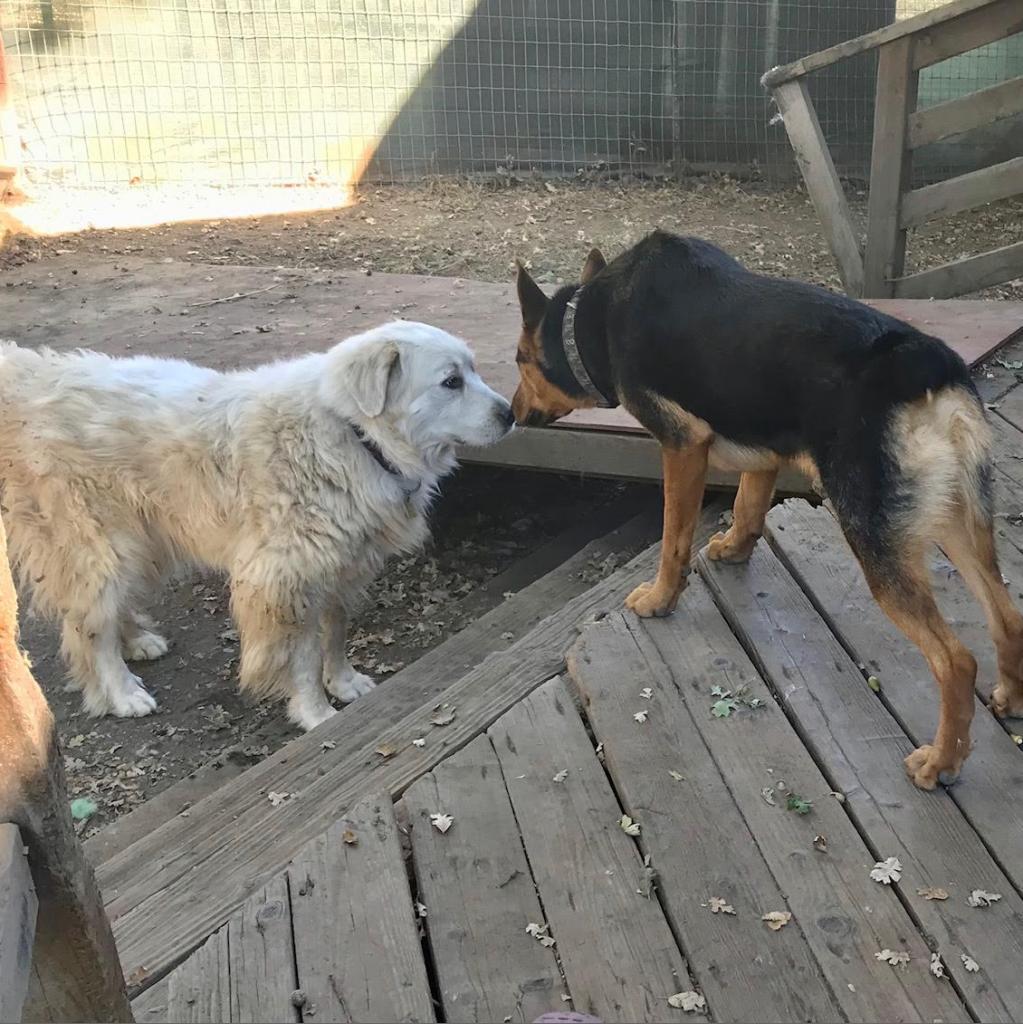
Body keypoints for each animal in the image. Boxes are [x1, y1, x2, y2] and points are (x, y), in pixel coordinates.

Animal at [0, 319, 512, 729]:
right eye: (451, 381)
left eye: (475, 371)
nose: (510, 414)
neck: (355, 435)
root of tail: (36, 372)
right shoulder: (286, 581)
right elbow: (303, 658)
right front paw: (316, 713)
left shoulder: (340, 567)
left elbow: (336, 632)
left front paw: (344, 683)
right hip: (99, 542)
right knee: (91, 625)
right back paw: (122, 692)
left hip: (139, 542)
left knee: (104, 608)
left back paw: (137, 641)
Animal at [516, 234, 1023, 790]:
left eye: (518, 360)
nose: (511, 413)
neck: (591, 313)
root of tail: (928, 366)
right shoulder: (763, 451)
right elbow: (747, 505)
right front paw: (734, 549)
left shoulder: (681, 446)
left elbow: (673, 540)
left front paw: (660, 599)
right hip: (959, 523)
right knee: (1007, 615)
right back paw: (1011, 698)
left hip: (881, 544)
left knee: (956, 662)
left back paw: (942, 762)